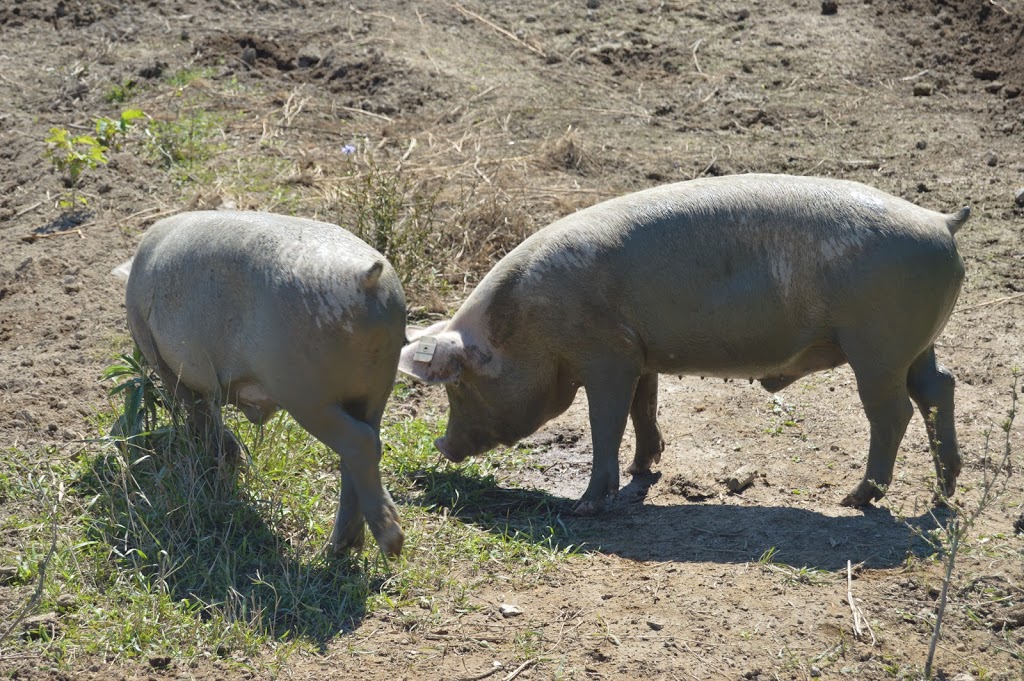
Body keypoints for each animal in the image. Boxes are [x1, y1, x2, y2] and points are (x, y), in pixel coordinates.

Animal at [123, 209, 403, 557]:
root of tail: (365, 278)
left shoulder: (167, 365)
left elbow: (200, 411)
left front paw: (226, 460)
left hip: (304, 393)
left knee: (359, 442)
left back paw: (390, 543)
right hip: (376, 389)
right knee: (363, 447)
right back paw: (339, 548)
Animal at [399, 173, 966, 512]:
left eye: (459, 385)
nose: (441, 446)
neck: (528, 322)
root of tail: (940, 221)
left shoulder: (607, 357)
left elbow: (605, 422)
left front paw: (587, 505)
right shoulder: (639, 353)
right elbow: (642, 409)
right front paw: (643, 469)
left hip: (877, 346)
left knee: (893, 412)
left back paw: (855, 500)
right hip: (916, 344)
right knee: (938, 388)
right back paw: (942, 496)